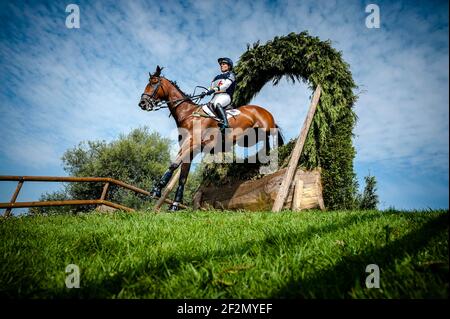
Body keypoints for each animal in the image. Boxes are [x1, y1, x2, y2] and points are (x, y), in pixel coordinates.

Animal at [139, 66, 284, 211]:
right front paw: (174, 205)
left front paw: (156, 190)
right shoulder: (191, 150)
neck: (188, 114)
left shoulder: (191, 143)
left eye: (153, 82)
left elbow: (173, 165)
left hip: (266, 128)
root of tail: (264, 110)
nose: (142, 103)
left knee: (273, 138)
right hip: (249, 138)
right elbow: (183, 177)